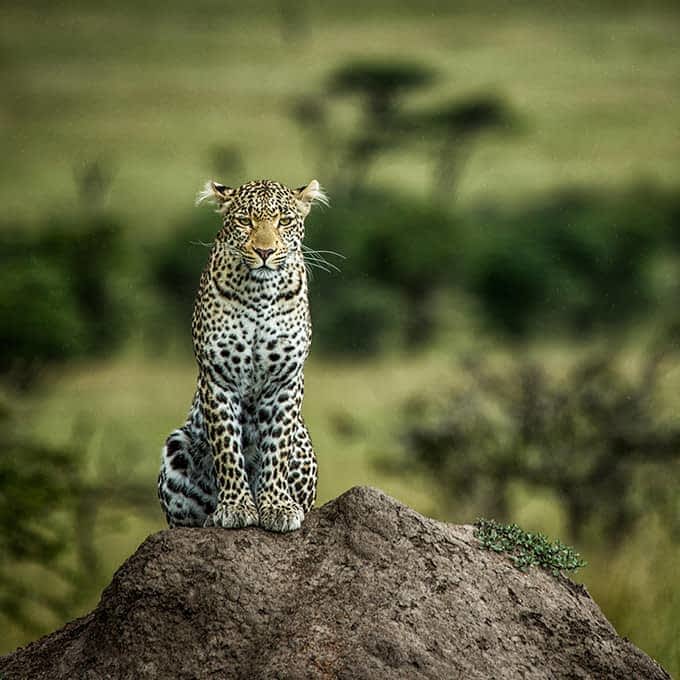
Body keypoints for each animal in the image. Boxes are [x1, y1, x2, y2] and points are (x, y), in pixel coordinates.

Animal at [160, 178, 330, 532]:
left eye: (284, 221)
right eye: (244, 221)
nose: (265, 252)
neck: (259, 294)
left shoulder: (286, 379)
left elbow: (276, 446)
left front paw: (277, 507)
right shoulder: (218, 377)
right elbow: (226, 446)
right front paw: (235, 507)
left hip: (304, 447)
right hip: (176, 447)